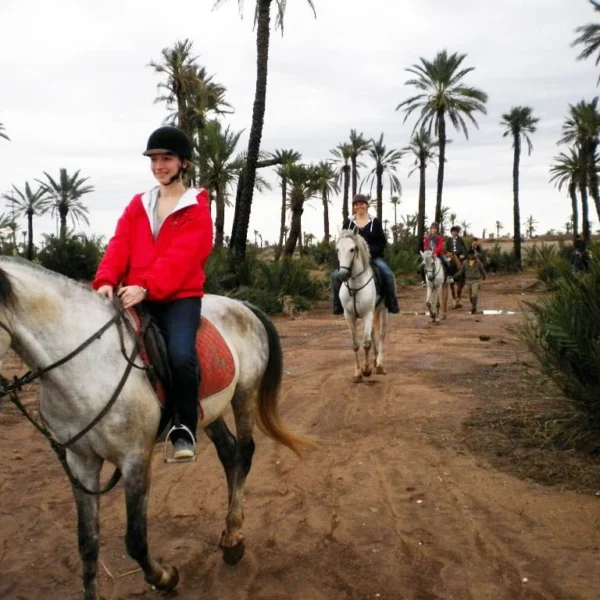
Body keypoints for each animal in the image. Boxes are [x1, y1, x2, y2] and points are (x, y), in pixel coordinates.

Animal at [0, 258, 304, 600]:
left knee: (245, 453)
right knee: (229, 454)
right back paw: (230, 533)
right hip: (208, 411)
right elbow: (87, 543)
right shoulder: (81, 462)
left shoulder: (134, 460)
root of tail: (242, 305)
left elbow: (135, 540)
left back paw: (234, 536)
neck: (89, 365)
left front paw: (166, 577)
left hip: (245, 393)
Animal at [332, 230, 390, 384]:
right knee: (374, 333)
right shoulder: (349, 316)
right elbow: (355, 344)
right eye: (338, 249)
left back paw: (379, 364)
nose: (342, 275)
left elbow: (366, 343)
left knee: (381, 334)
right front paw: (358, 373)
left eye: (352, 249)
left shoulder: (367, 314)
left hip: (383, 310)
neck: (354, 286)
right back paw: (375, 360)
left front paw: (366, 370)